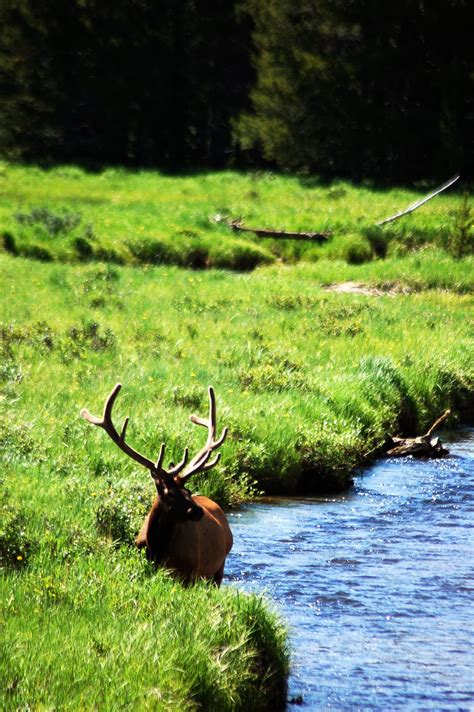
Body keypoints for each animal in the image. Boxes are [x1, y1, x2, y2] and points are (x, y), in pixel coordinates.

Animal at [81, 384, 233, 584]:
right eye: (170, 493)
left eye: (188, 490)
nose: (198, 511)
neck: (158, 549)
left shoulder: (190, 573)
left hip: (219, 568)